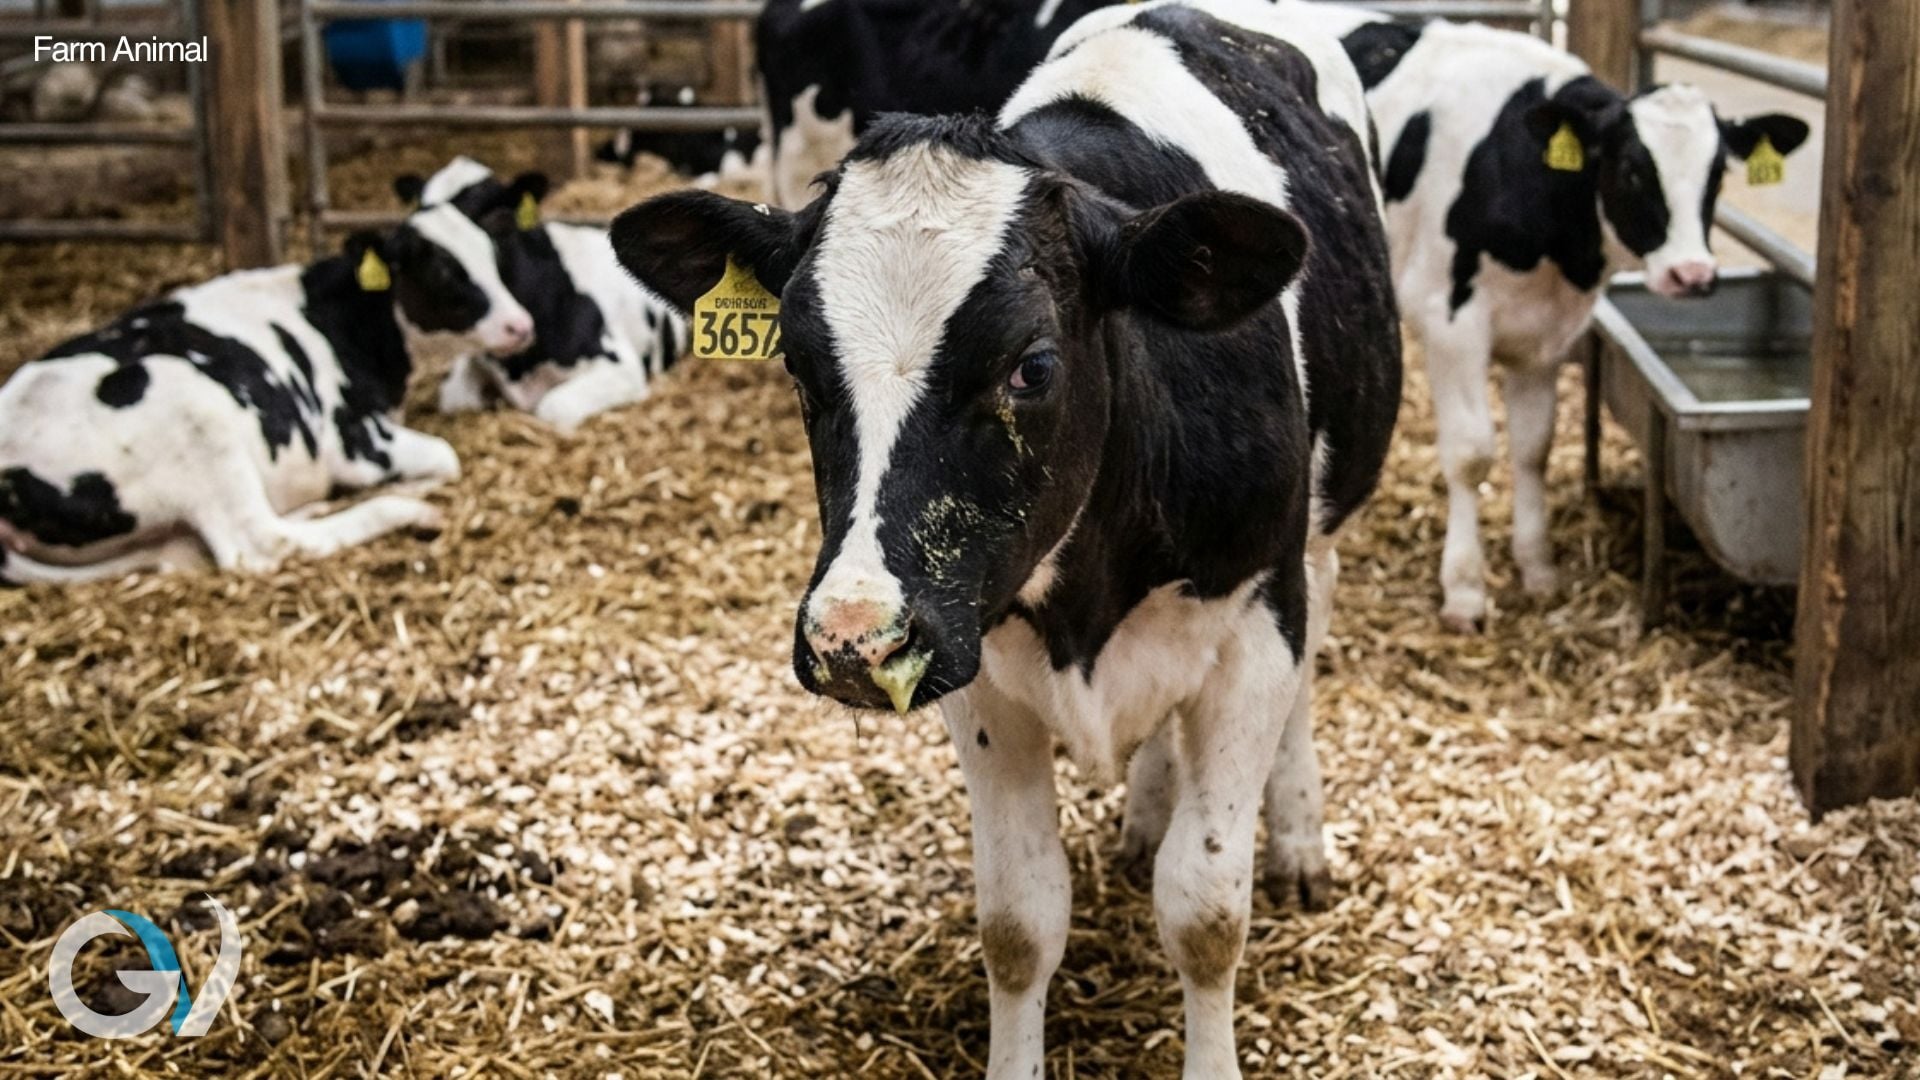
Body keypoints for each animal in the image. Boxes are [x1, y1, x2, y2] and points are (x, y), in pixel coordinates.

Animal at [0, 200, 539, 585]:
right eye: (444, 270)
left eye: (493, 258)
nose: (521, 325)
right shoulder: (353, 440)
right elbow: (446, 458)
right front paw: (398, 489)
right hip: (194, 413)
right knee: (262, 543)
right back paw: (396, 510)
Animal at [1321, 9, 1810, 630]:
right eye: (1630, 169)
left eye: (1718, 172)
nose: (1692, 274)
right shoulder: (1450, 318)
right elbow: (1471, 454)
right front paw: (1465, 590)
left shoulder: (1545, 332)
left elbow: (1534, 448)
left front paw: (1537, 568)